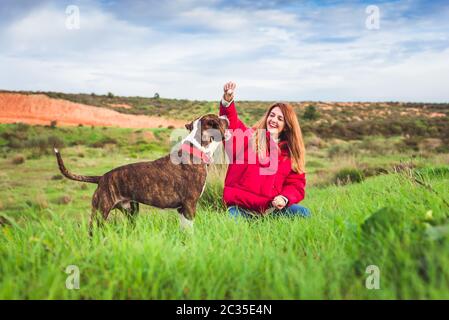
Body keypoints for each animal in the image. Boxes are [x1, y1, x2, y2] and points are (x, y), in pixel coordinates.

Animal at [54, 114, 228, 236]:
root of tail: (101, 178)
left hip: (131, 212)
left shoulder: (182, 209)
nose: (226, 116)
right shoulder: (190, 205)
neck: (197, 149)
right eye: (219, 119)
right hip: (100, 213)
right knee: (92, 232)